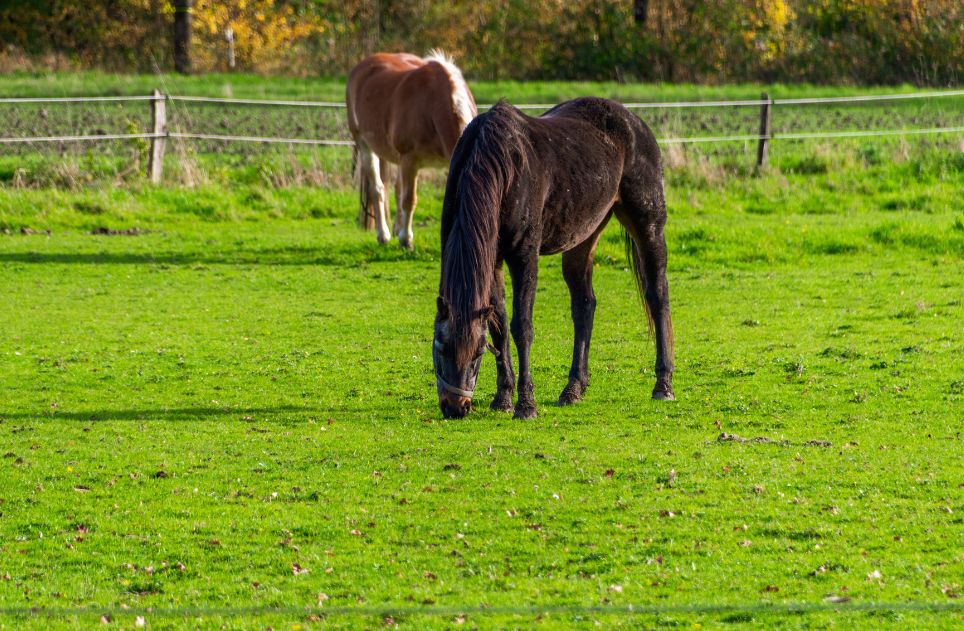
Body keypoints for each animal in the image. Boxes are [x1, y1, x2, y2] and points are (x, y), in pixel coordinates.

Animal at [346, 51, 477, 249]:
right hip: (365, 144)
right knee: (378, 189)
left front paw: (403, 235)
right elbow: (409, 200)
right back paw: (384, 235)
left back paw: (396, 229)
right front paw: (406, 240)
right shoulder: (410, 159)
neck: (434, 105)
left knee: (397, 188)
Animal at [432, 97, 675, 419]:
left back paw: (663, 384)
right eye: (440, 347)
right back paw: (573, 388)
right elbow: (499, 324)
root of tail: (634, 121)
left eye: (477, 354)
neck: (500, 165)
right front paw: (503, 398)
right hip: (583, 237)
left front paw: (525, 405)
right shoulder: (493, 260)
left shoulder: (524, 256)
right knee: (584, 306)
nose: (455, 407)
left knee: (657, 296)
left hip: (648, 225)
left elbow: (521, 327)